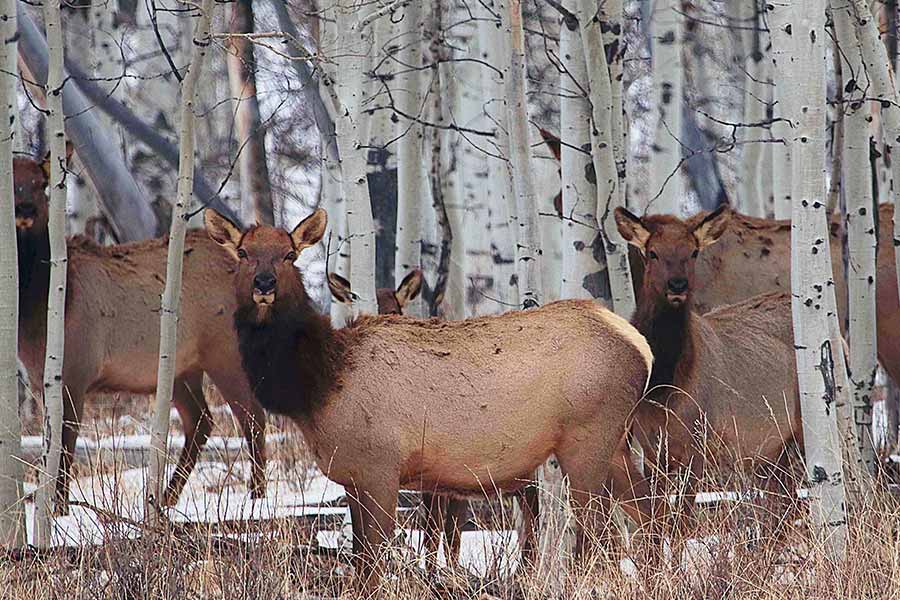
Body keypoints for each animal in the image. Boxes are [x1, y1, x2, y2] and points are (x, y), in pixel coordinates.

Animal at [13, 151, 268, 510]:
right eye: (10, 182)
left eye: (40, 184)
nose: (24, 210)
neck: (37, 308)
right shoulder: (41, 380)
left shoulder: (75, 372)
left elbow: (64, 447)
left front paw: (59, 509)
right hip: (181, 368)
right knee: (201, 420)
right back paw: (166, 498)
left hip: (225, 353)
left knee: (252, 417)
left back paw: (255, 496)